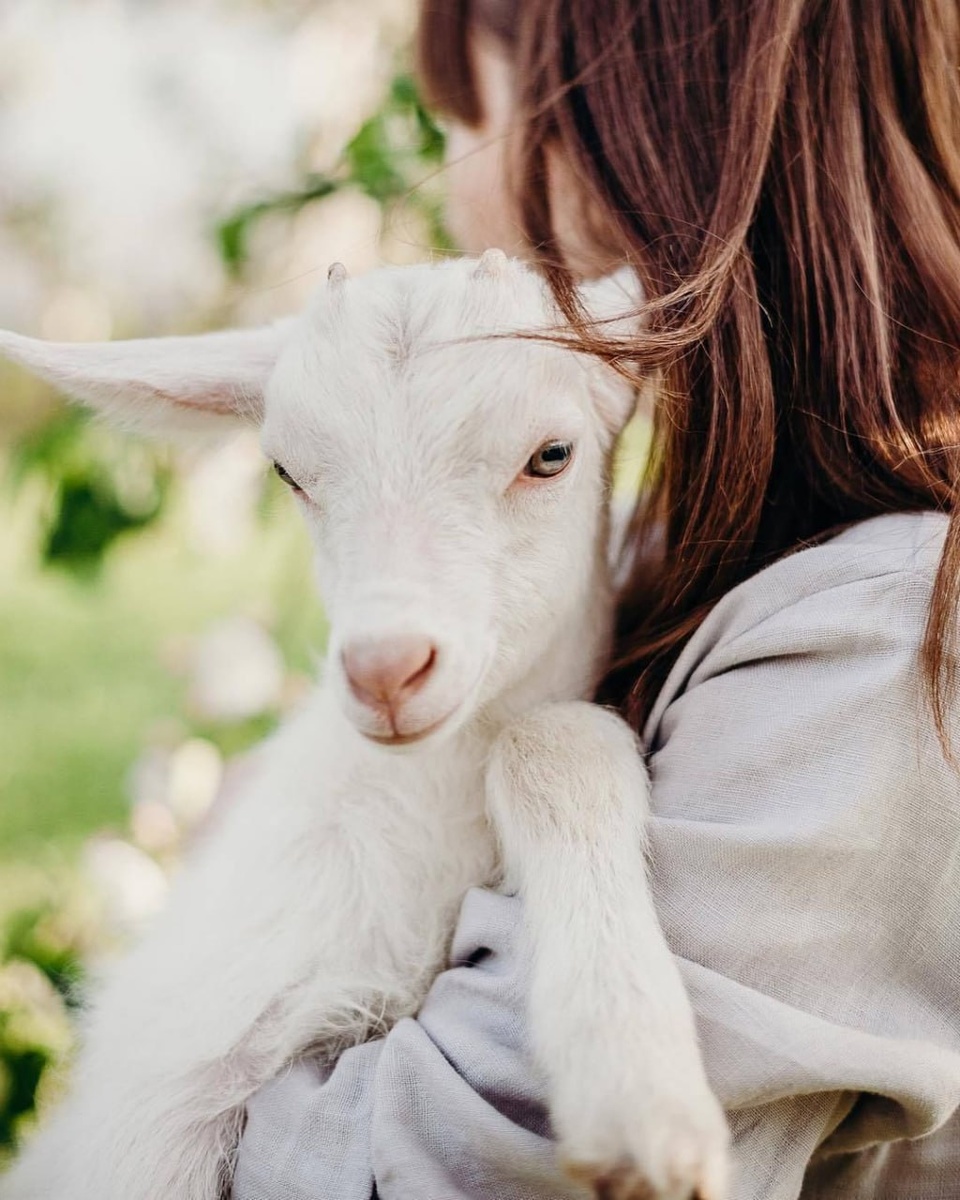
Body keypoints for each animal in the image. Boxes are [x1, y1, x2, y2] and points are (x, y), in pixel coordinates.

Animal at [0, 252, 729, 1200]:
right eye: (286, 473)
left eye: (552, 455)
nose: (385, 668)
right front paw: (641, 1107)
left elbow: (552, 740)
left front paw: (636, 1094)